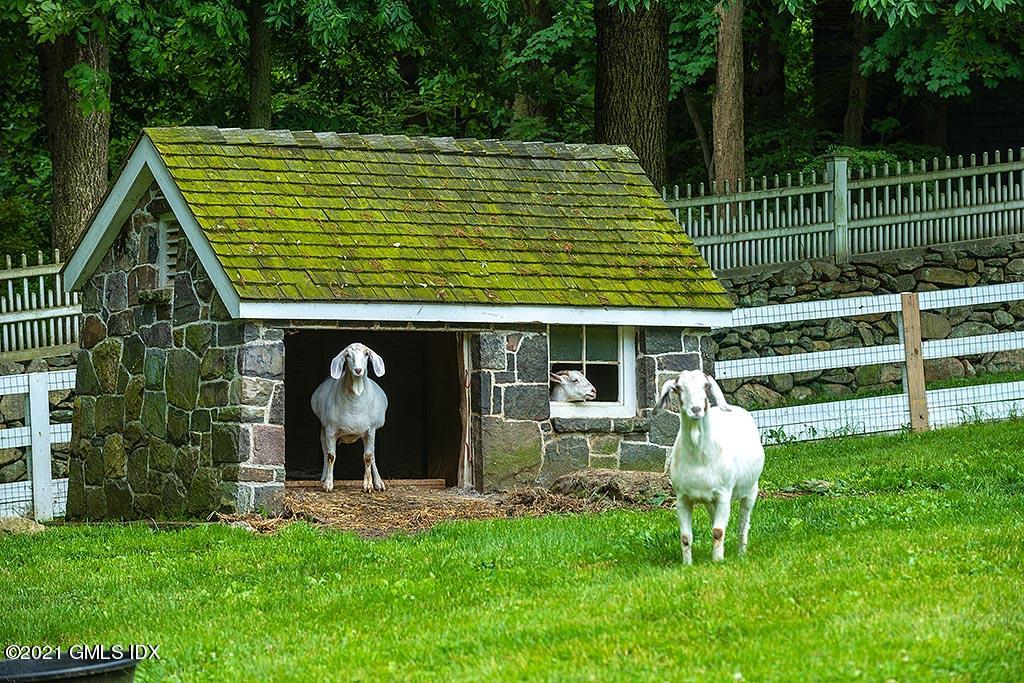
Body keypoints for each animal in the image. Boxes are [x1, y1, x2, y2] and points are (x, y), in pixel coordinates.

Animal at [311, 343, 388, 493]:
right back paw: (323, 477)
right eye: (347, 355)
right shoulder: (330, 430)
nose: (358, 370)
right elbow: (331, 456)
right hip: (323, 428)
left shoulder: (370, 430)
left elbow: (368, 457)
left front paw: (368, 486)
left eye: (366, 354)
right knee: (324, 451)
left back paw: (379, 483)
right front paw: (328, 484)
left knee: (373, 456)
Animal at [656, 370, 764, 564]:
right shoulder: (682, 498)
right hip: (709, 501)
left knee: (744, 522)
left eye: (706, 386)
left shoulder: (724, 494)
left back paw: (742, 552)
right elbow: (686, 536)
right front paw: (688, 564)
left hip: (751, 488)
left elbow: (718, 531)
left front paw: (717, 561)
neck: (699, 458)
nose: (696, 410)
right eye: (678, 388)